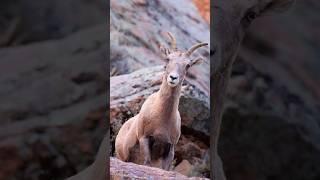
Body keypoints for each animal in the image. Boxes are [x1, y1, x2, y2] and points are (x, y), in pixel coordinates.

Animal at [114, 32, 208, 170]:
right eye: (168, 59)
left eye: (188, 65)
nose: (173, 78)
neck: (161, 116)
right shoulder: (145, 138)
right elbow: (147, 164)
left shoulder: (170, 147)